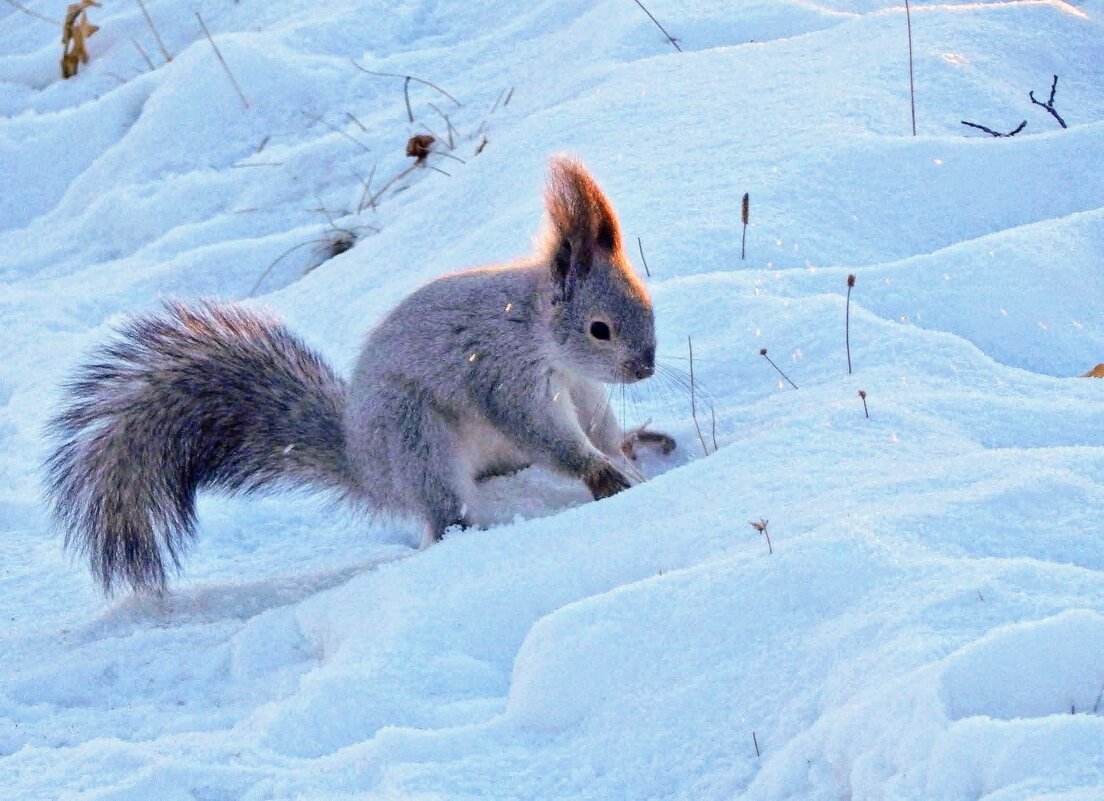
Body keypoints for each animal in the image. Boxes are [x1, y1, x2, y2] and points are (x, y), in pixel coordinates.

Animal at [45, 156, 671, 595]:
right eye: (599, 329)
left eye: (648, 305)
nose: (645, 366)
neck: (535, 330)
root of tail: (366, 466)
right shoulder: (505, 376)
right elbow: (547, 435)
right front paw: (602, 475)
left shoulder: (580, 387)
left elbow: (599, 424)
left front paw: (632, 445)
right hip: (415, 439)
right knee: (443, 517)